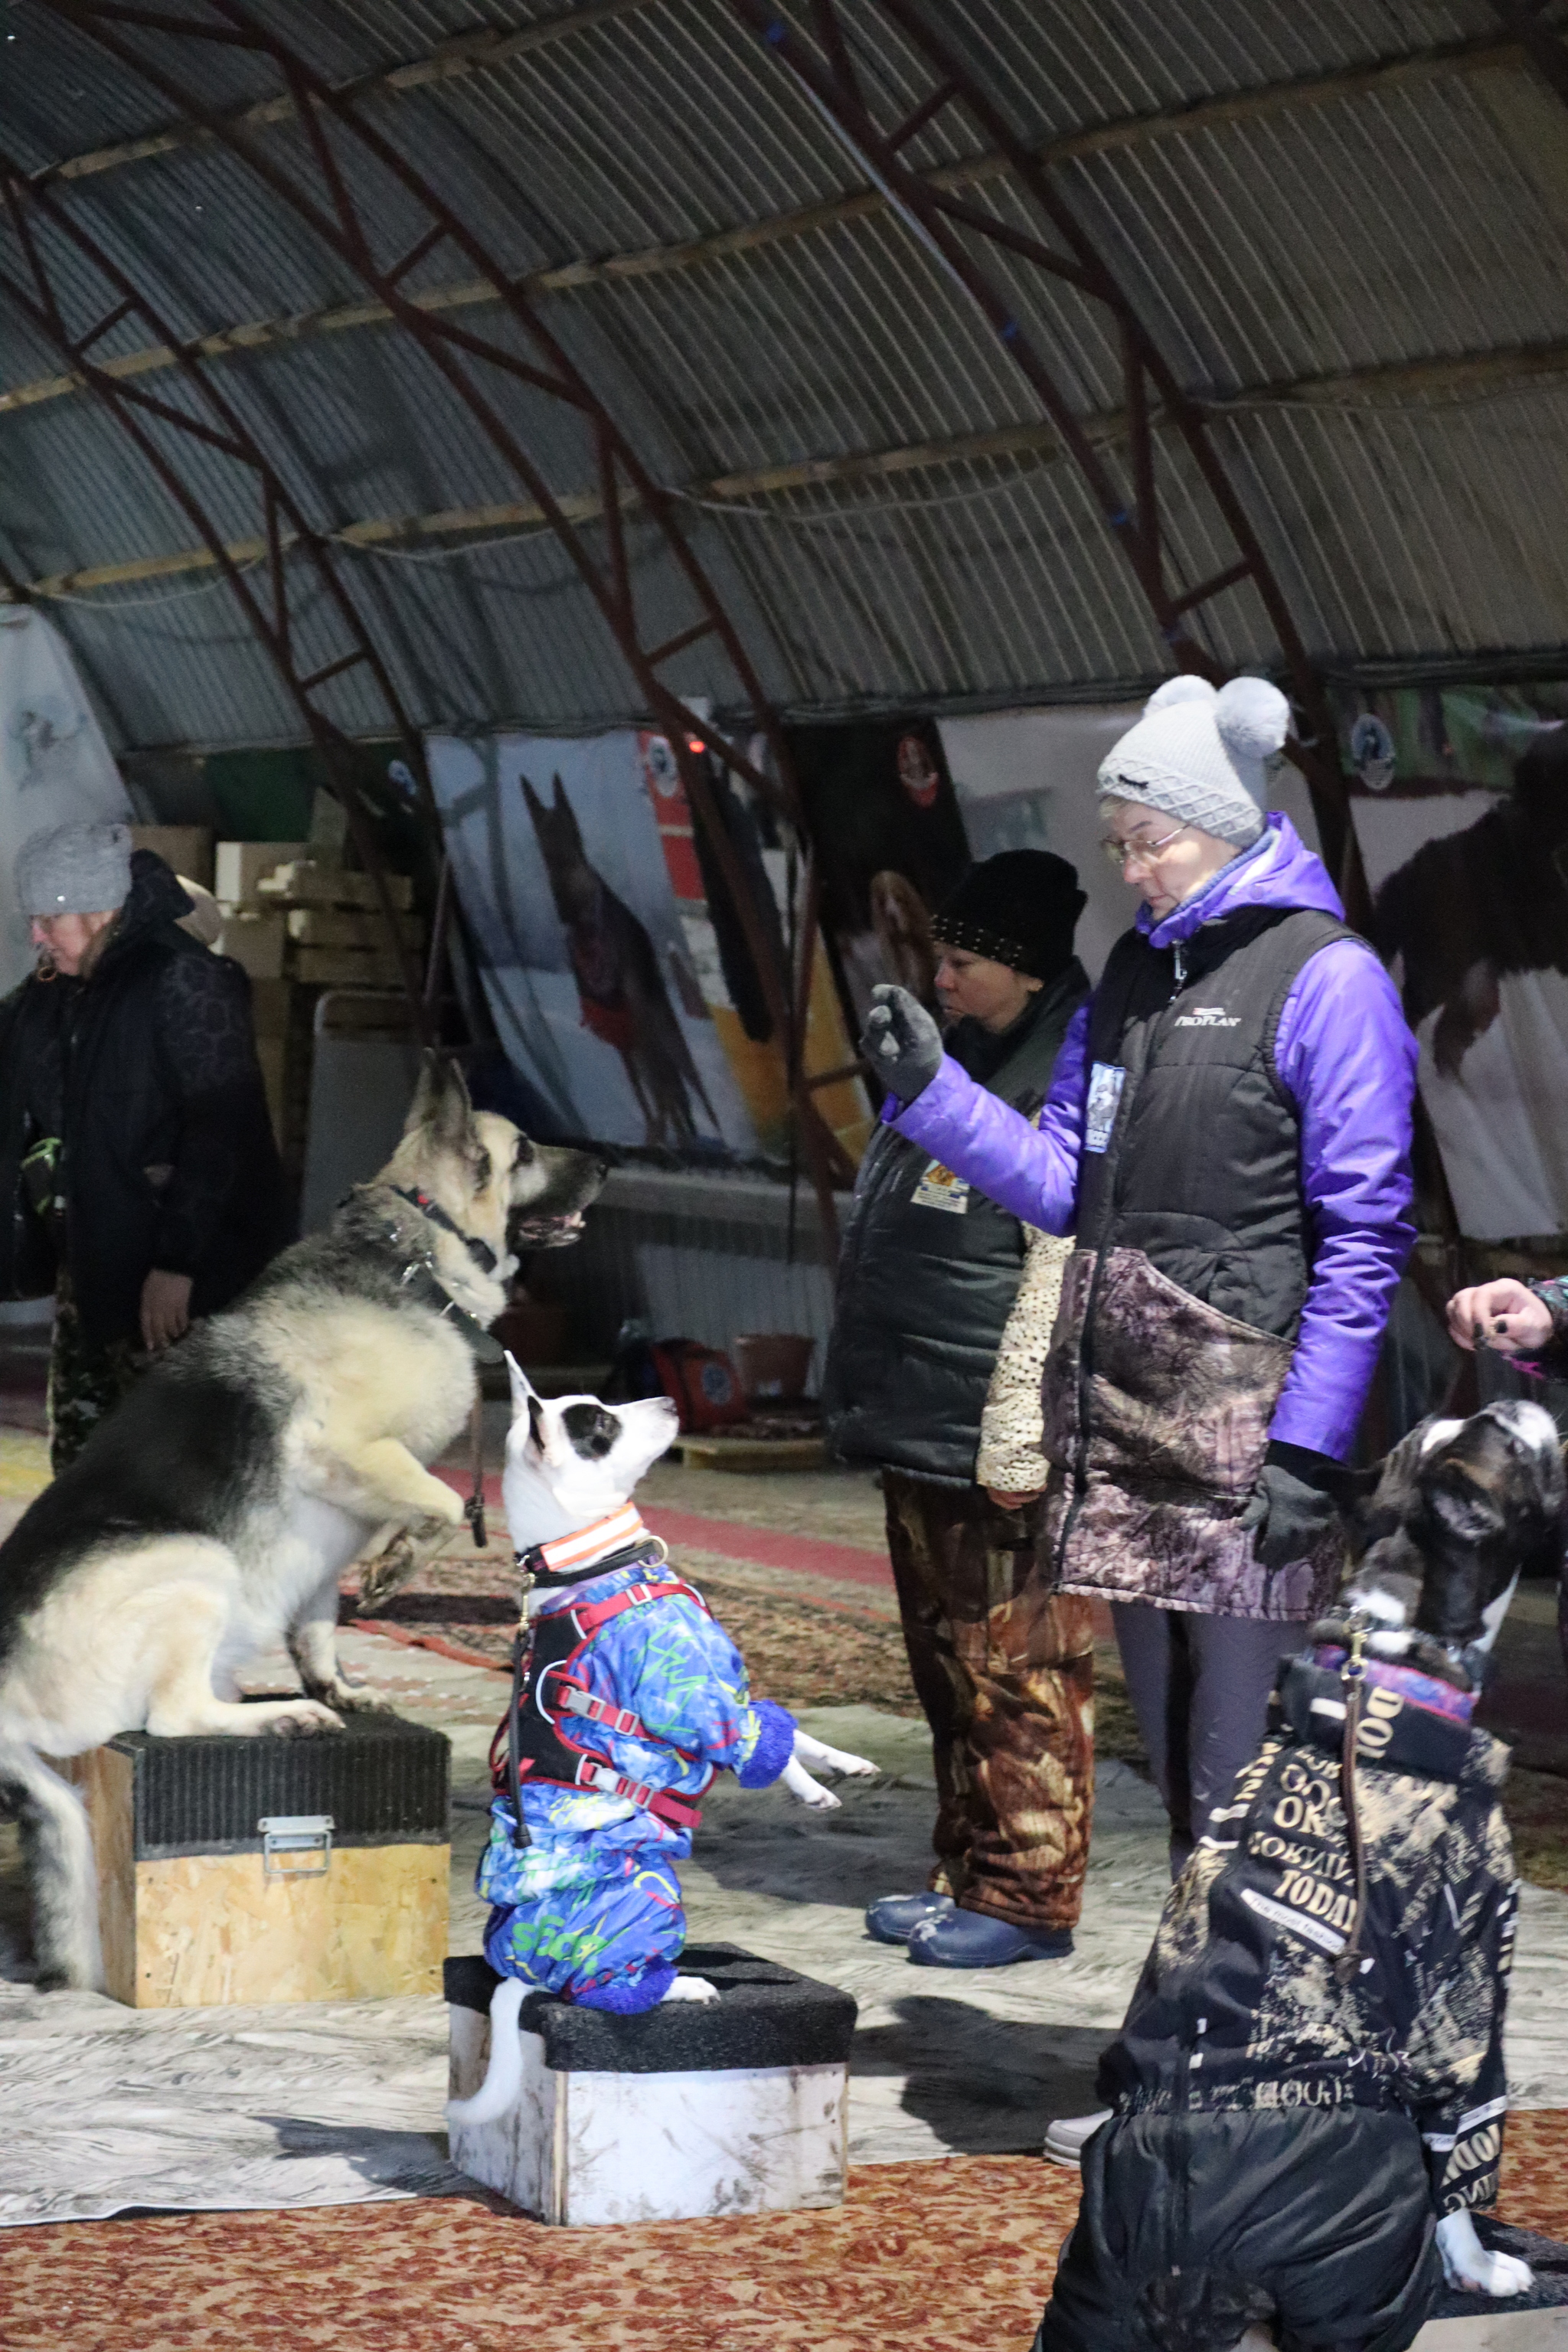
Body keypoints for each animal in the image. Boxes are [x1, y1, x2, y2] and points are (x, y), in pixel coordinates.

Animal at [0, 1054, 606, 1984]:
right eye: (527, 1150)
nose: (608, 1163)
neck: (417, 1254)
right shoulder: (347, 1452)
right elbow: (444, 1505)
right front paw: (400, 1562)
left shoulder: (326, 1550)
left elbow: (321, 1624)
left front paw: (341, 1674)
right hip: (195, 1563)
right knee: (175, 1718)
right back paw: (278, 1716)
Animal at [526, 771, 724, 1148]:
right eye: (543, 851)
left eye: (573, 841)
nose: (563, 911)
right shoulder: (620, 1034)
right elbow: (649, 1101)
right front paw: (654, 1134)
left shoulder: (636, 1027)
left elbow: (662, 1100)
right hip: (646, 1047)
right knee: (671, 1096)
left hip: (666, 1044)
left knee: (685, 1095)